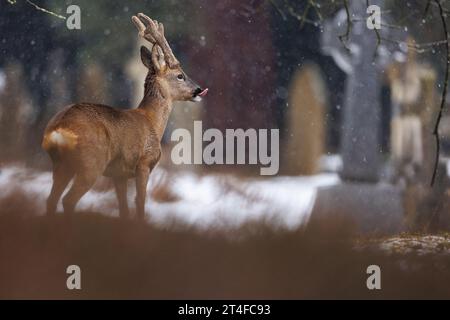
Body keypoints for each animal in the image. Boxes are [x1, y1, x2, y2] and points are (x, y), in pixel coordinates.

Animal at [41, 14, 208, 220]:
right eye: (180, 75)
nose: (199, 90)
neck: (152, 122)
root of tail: (58, 129)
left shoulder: (118, 174)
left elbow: (124, 210)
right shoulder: (144, 163)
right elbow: (140, 203)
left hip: (61, 165)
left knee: (51, 200)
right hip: (91, 163)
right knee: (68, 200)